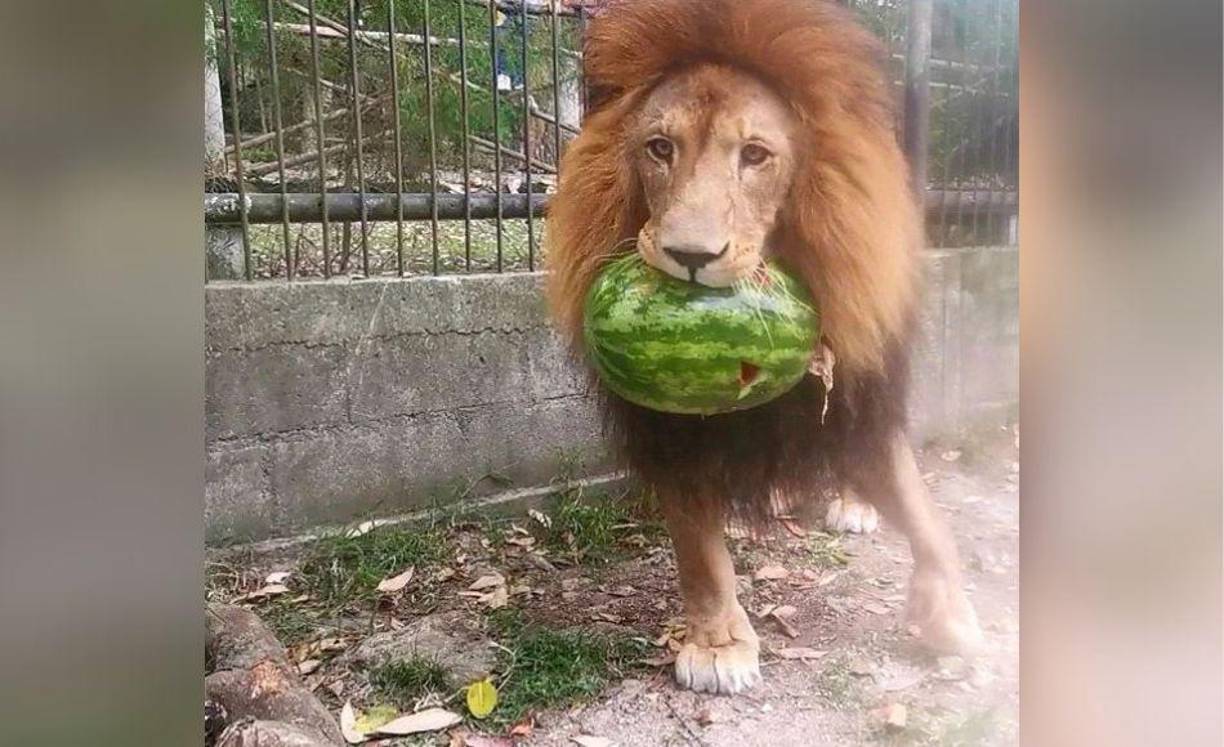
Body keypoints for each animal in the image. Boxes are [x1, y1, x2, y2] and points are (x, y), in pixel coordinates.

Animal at [545, 0, 983, 695]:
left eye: (754, 155)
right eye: (660, 148)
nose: (691, 255)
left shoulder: (858, 391)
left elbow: (919, 504)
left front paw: (952, 613)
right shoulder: (669, 427)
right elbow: (699, 551)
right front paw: (719, 645)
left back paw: (853, 505)